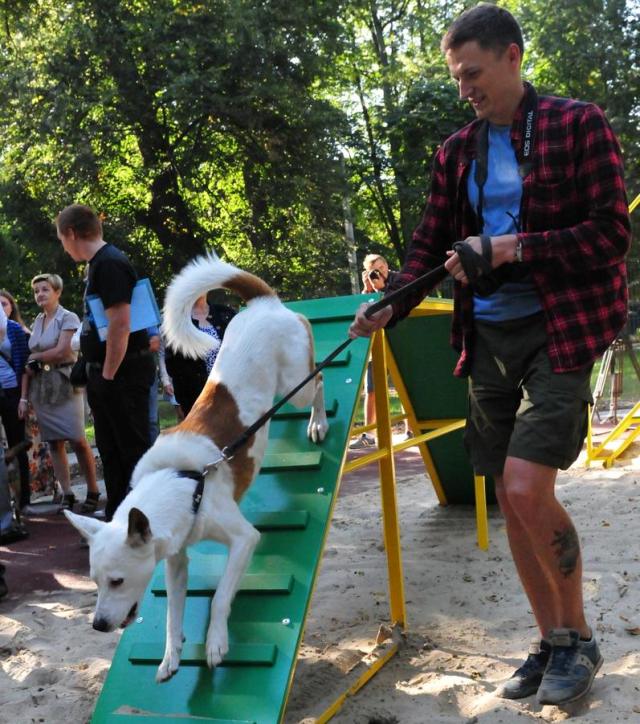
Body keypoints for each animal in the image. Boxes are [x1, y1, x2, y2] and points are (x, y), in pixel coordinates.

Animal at [63, 258, 330, 680]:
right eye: (94, 581)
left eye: (118, 581)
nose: (99, 625)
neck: (181, 482)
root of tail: (264, 303)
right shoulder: (175, 560)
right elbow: (173, 613)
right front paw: (171, 655)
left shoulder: (244, 539)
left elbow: (220, 596)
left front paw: (216, 641)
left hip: (297, 382)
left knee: (317, 379)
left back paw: (318, 422)